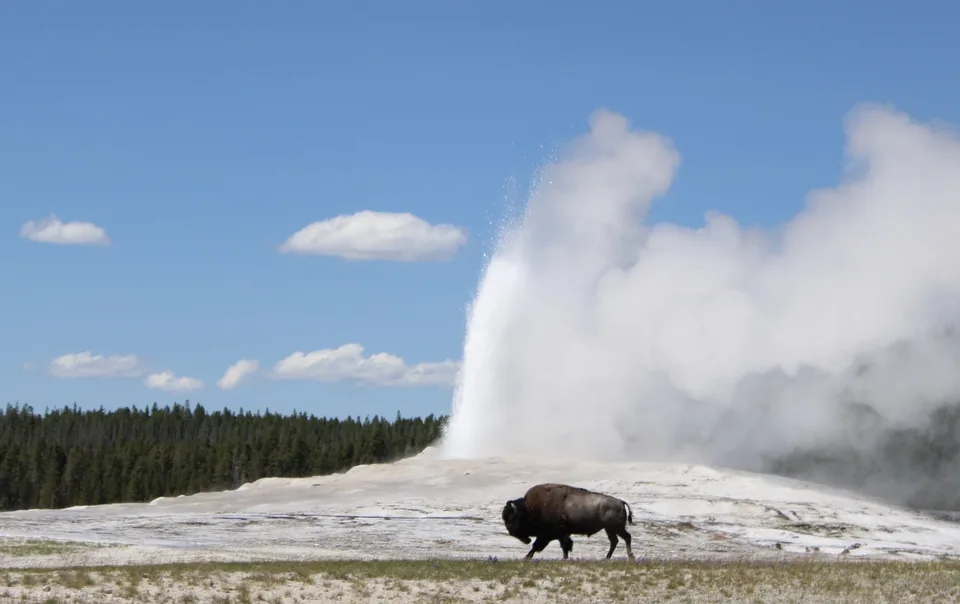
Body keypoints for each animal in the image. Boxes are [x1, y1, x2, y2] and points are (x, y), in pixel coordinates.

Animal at [501, 482, 636, 560]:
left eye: (512, 518)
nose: (510, 532)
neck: (529, 509)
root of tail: (621, 502)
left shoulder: (552, 534)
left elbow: (543, 545)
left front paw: (527, 557)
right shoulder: (555, 534)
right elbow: (561, 546)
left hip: (615, 528)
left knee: (626, 537)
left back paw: (630, 557)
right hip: (610, 529)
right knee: (615, 541)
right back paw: (607, 558)